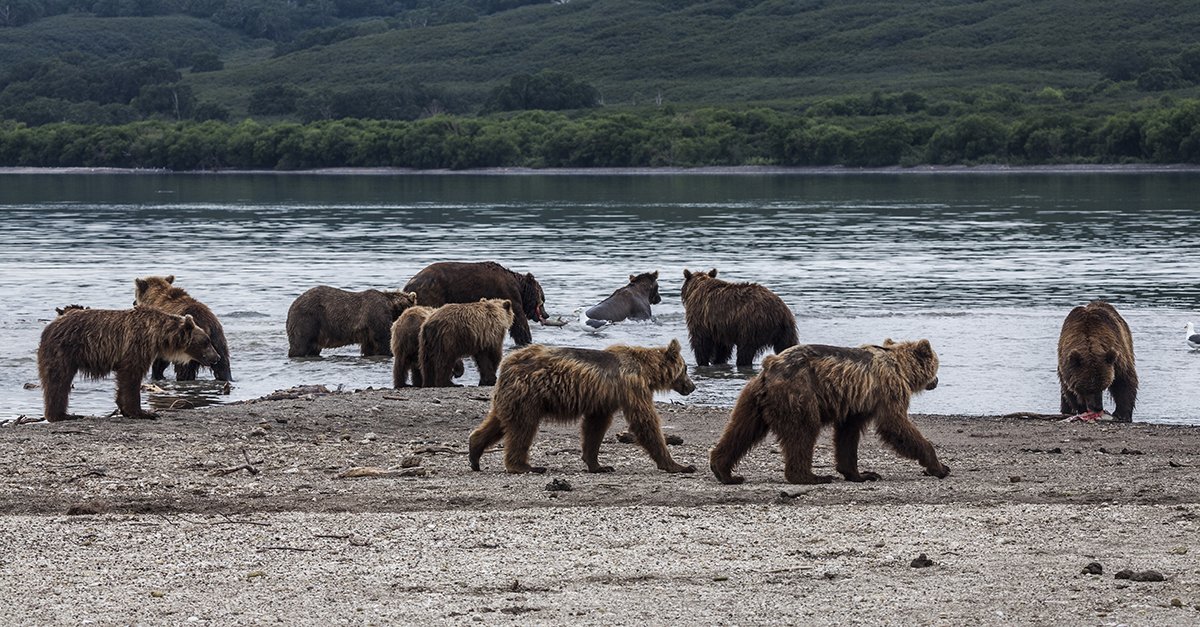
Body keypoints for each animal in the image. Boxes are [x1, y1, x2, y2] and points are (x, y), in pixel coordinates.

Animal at [38, 306, 222, 420]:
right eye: (206, 341)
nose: (217, 357)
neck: (160, 336)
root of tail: (49, 327)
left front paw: (125, 409)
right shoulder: (138, 344)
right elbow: (131, 375)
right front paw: (143, 412)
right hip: (63, 350)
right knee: (58, 381)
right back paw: (63, 415)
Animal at [288, 284, 420, 355]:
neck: (391, 306)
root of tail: (293, 304)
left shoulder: (368, 330)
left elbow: (369, 345)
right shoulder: (377, 313)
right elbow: (383, 337)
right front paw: (389, 352)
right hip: (308, 318)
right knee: (300, 343)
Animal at [408, 259, 549, 345]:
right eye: (543, 298)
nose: (546, 315)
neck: (520, 288)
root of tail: (410, 283)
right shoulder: (508, 294)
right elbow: (519, 322)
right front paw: (526, 340)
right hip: (434, 294)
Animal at [465, 338, 700, 470]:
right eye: (686, 368)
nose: (693, 386)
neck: (647, 371)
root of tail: (508, 361)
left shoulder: (605, 399)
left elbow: (595, 427)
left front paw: (598, 465)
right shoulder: (632, 386)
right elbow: (644, 421)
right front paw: (679, 465)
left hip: (510, 397)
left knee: (498, 422)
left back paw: (475, 453)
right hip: (528, 393)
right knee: (523, 428)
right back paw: (524, 466)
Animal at [705, 336, 950, 482]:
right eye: (937, 365)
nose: (937, 380)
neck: (901, 368)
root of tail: (770, 365)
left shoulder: (856, 403)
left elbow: (848, 434)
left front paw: (861, 473)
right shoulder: (888, 388)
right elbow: (895, 424)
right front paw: (940, 467)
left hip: (753, 397)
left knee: (742, 429)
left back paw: (723, 470)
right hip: (799, 392)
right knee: (802, 431)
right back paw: (810, 476)